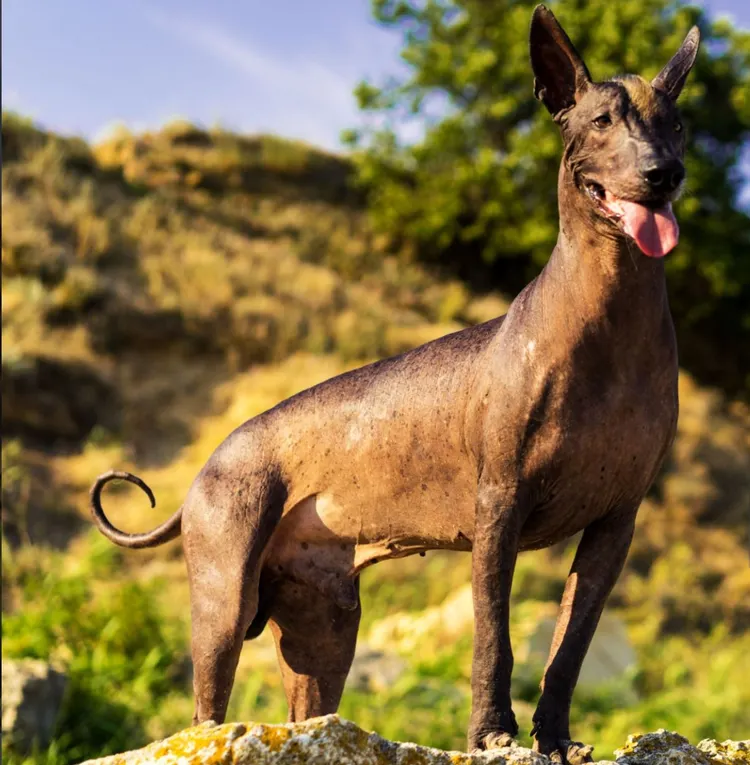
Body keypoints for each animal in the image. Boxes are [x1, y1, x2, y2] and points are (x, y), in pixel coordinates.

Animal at [91, 8, 704, 760]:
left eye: (675, 125)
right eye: (600, 122)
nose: (663, 172)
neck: (611, 318)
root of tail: (207, 466)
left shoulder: (616, 524)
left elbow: (569, 648)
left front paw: (555, 737)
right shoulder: (499, 507)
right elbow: (494, 639)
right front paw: (492, 733)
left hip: (322, 626)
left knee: (307, 713)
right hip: (222, 597)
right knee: (205, 713)